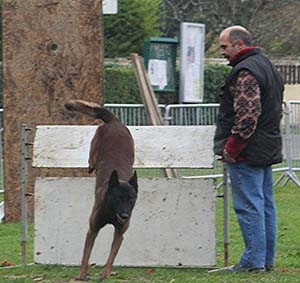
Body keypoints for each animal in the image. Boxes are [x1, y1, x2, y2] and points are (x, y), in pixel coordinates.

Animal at [65, 100, 138, 282]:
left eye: (131, 199)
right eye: (118, 198)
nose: (125, 215)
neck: (111, 210)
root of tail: (114, 122)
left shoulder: (119, 233)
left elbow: (112, 256)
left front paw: (105, 273)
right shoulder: (93, 230)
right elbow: (86, 255)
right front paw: (82, 275)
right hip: (95, 145)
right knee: (91, 162)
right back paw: (91, 167)